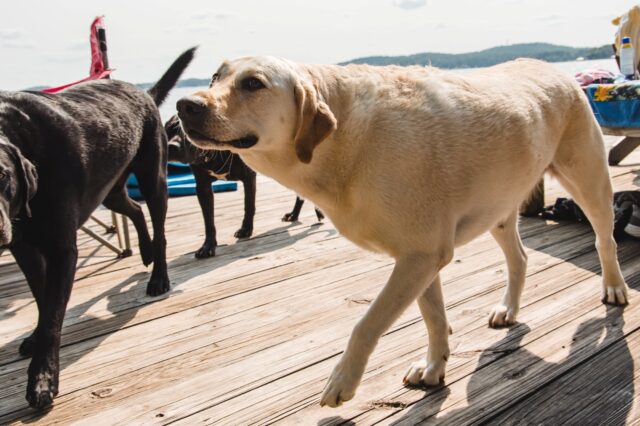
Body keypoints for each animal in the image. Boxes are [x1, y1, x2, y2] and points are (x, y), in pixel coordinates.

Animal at [0, 47, 195, 410]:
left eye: (2, 175)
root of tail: (143, 92)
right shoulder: (24, 247)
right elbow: (41, 298)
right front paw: (35, 338)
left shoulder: (62, 249)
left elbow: (52, 317)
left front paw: (42, 380)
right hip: (110, 192)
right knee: (135, 210)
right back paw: (144, 251)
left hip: (152, 179)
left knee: (159, 229)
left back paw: (158, 277)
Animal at [166, 115, 322, 258]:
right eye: (167, 131)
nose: (171, 146)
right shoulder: (202, 187)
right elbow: (208, 220)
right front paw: (208, 246)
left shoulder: (248, 177)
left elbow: (248, 206)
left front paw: (246, 229)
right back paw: (294, 214)